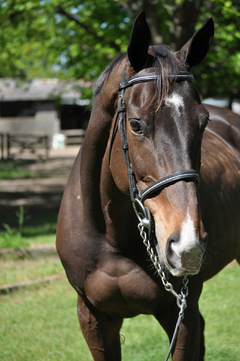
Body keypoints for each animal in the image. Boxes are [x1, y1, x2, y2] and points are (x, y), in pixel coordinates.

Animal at [56, 11, 240, 360]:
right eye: (136, 125)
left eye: (203, 122)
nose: (187, 246)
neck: (111, 237)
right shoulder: (93, 318)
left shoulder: (180, 315)